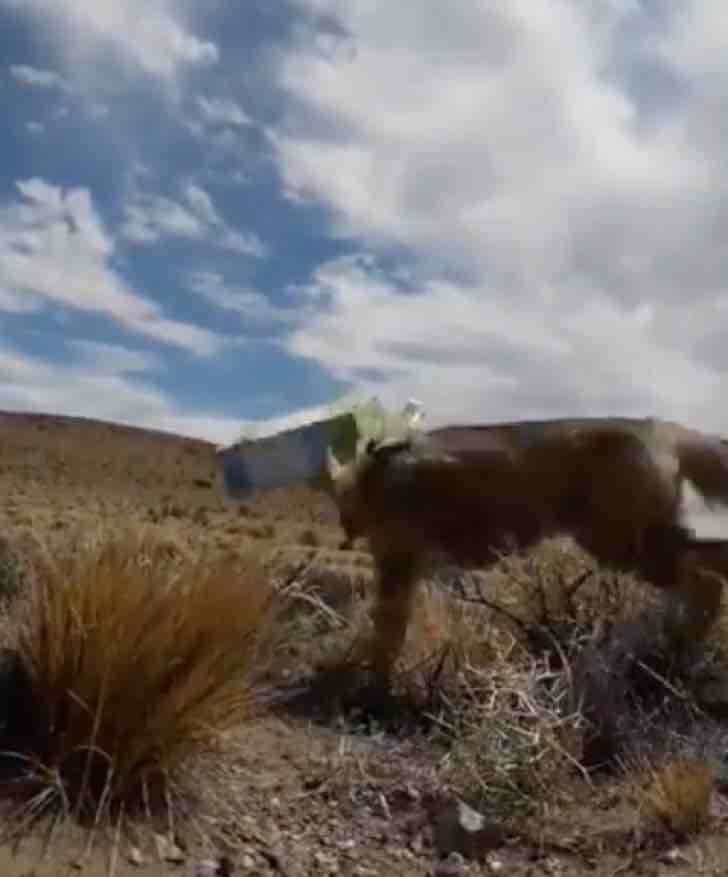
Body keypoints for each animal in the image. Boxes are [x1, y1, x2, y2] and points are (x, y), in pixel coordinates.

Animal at [328, 418, 728, 684]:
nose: (344, 536)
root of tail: (657, 424)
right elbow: (387, 633)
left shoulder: (398, 565)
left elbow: (386, 635)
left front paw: (371, 690)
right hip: (632, 544)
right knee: (711, 568)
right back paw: (678, 653)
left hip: (626, 546)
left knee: (706, 578)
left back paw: (678, 653)